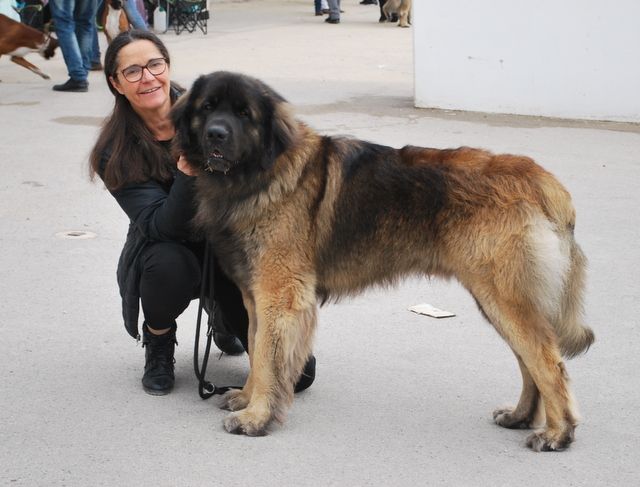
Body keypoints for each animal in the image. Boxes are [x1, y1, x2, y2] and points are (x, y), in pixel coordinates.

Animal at [171, 70, 596, 452]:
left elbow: (268, 356)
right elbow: (257, 349)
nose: (217, 134)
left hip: (502, 296)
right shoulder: (255, 296)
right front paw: (246, 399)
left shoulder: (280, 295)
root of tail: (540, 180)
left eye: (244, 114)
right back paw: (521, 416)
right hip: (498, 300)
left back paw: (557, 434)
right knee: (529, 360)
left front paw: (257, 418)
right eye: (207, 108)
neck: (258, 174)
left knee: (547, 362)